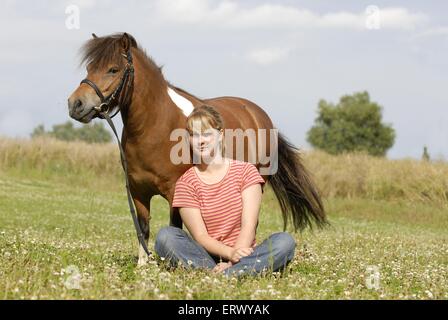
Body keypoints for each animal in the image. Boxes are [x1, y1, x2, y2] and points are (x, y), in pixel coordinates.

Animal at [67, 32, 326, 264]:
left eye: (113, 69)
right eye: (89, 67)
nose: (75, 104)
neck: (155, 126)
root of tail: (258, 114)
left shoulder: (175, 191)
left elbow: (174, 226)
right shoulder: (138, 191)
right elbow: (143, 228)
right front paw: (143, 266)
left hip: (257, 182)